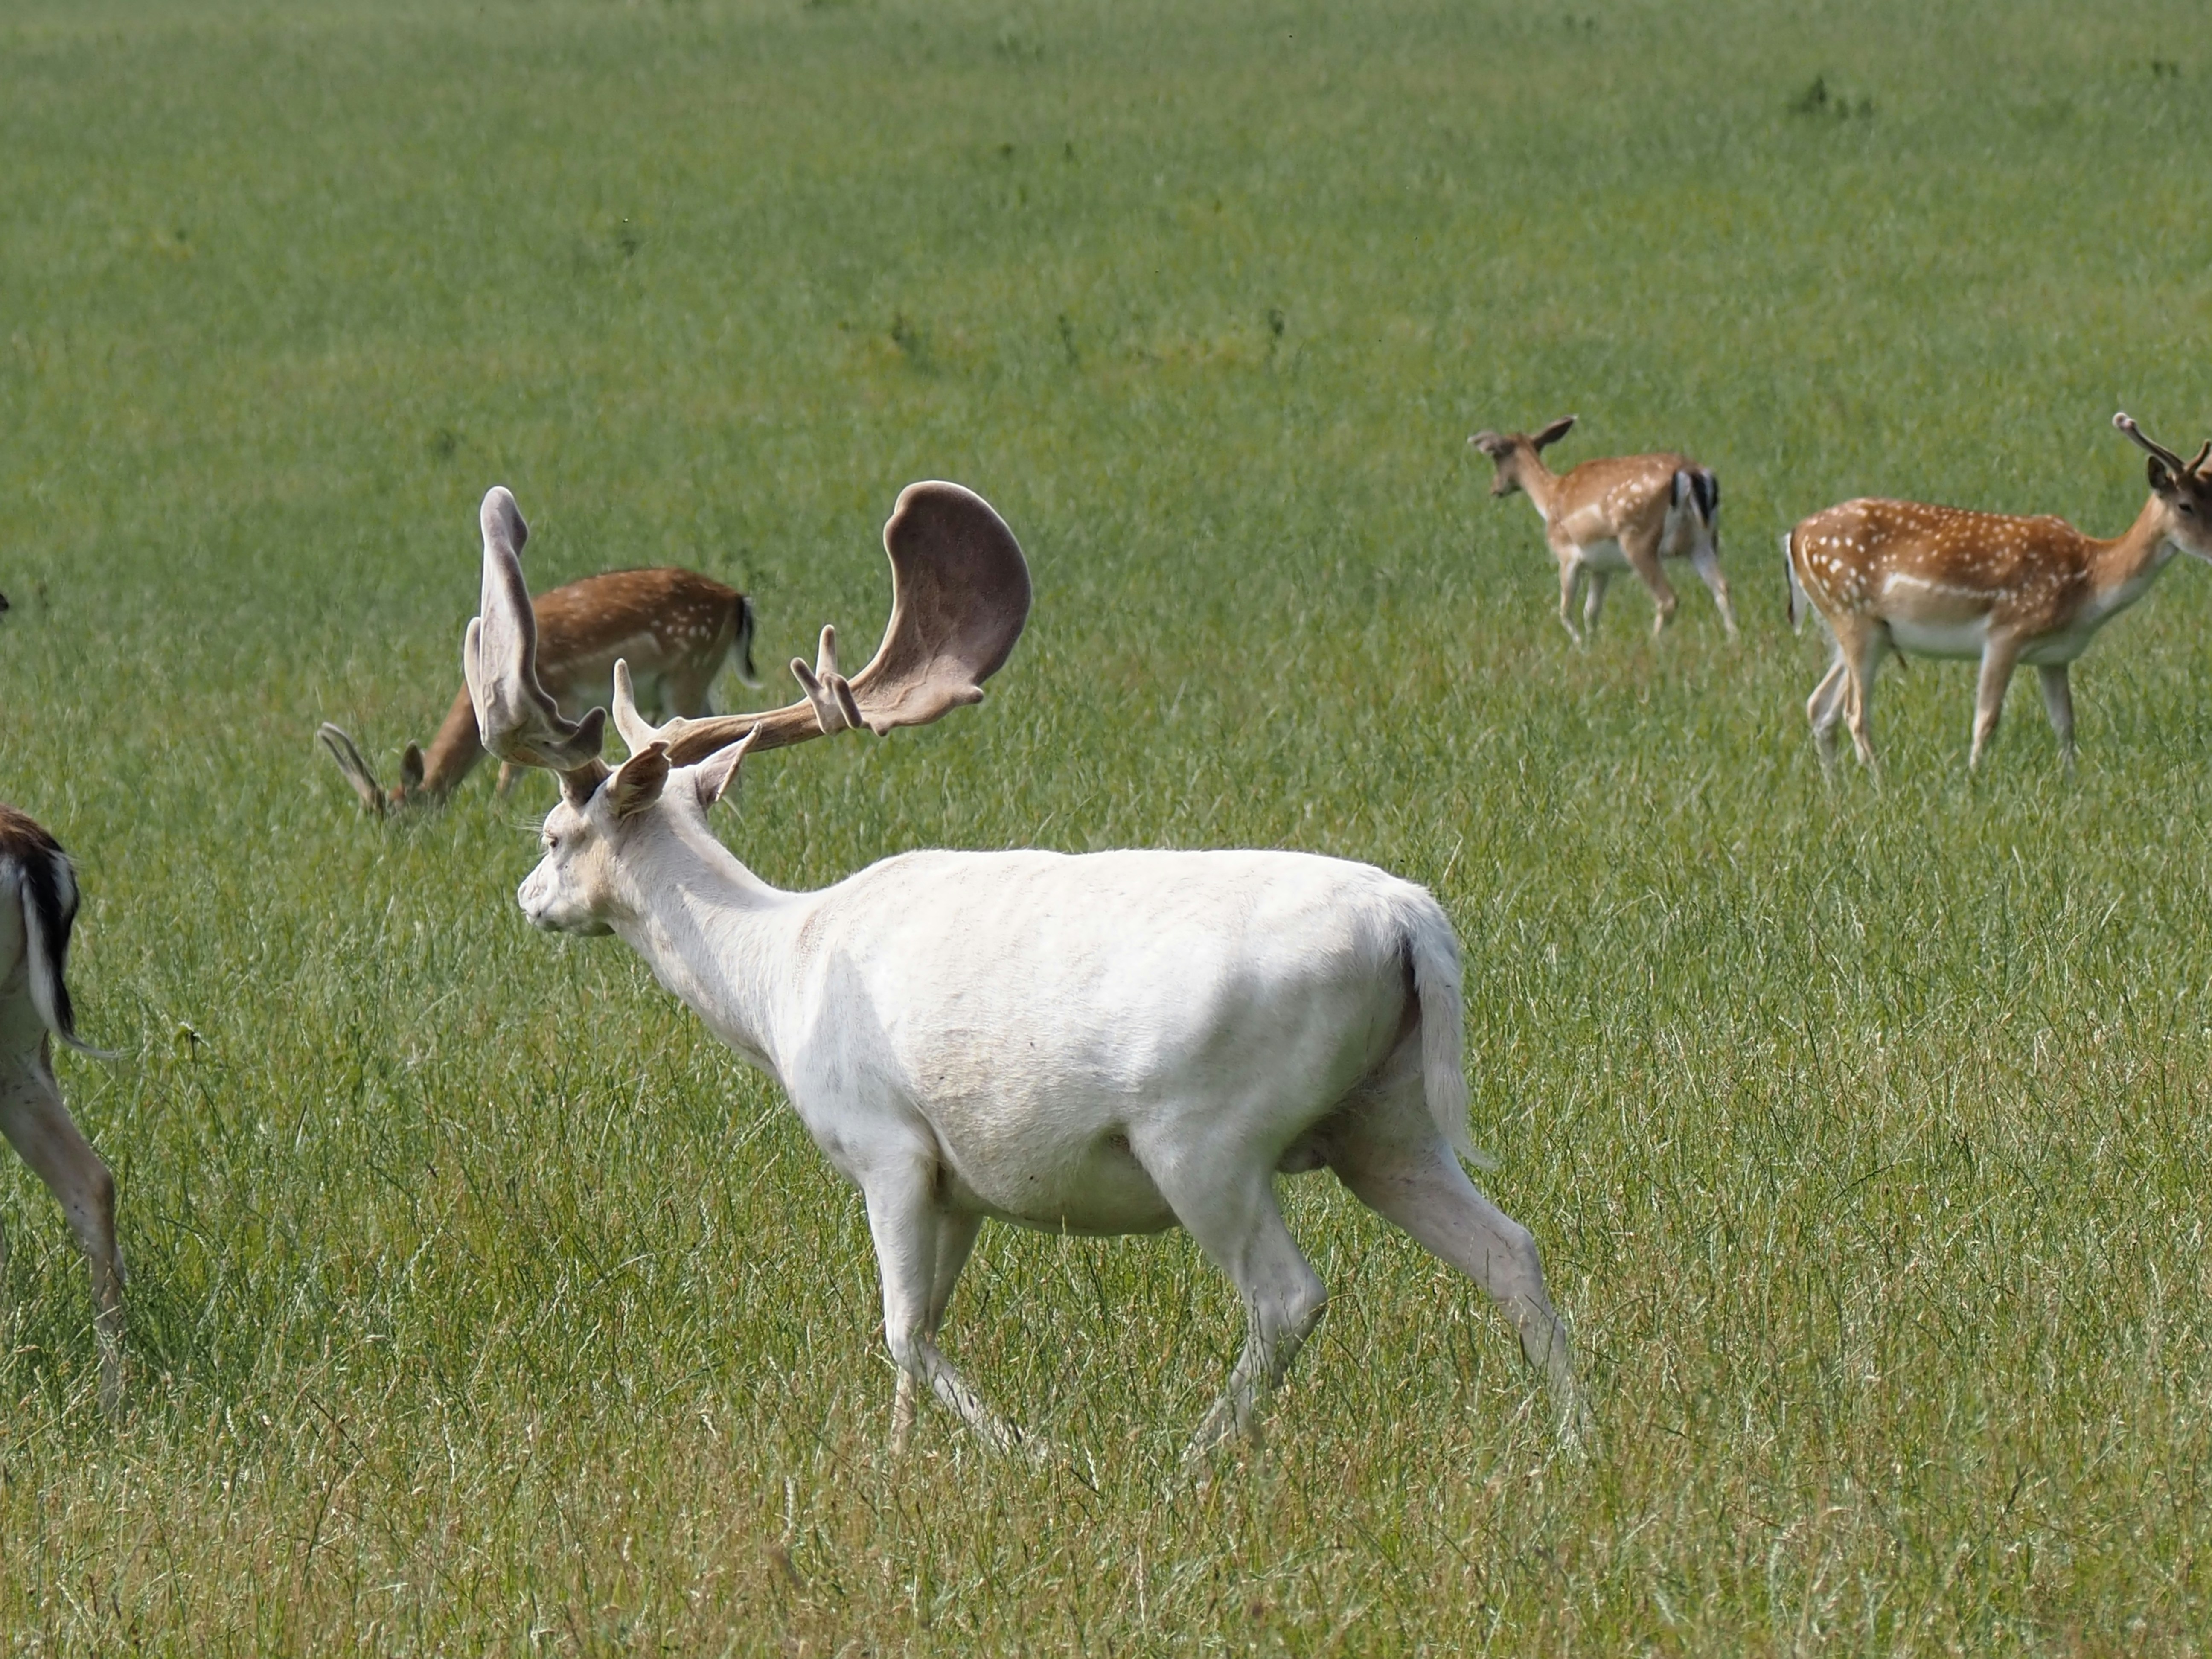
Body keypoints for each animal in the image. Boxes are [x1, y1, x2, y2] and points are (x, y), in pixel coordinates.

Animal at [319, 566, 758, 815]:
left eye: (400, 816)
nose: (394, 855)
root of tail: (738, 600)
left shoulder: (563, 702)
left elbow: (511, 775)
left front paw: (501, 822)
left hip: (688, 674)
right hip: (697, 680)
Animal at [459, 480, 1588, 1461]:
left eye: (556, 833)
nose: (525, 899)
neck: (775, 982)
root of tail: (1413, 922)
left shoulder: (888, 1145)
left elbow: (902, 1330)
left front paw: (1028, 1453)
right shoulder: (958, 1181)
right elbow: (918, 1335)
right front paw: (899, 1462)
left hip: (1206, 1135)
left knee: (1288, 1295)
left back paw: (1190, 1460)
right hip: (1385, 1119)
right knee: (1512, 1248)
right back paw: (1575, 1443)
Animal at [1470, 416, 1736, 643]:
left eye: (1496, 457)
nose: (1495, 489)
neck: (1549, 498)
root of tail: (1690, 473)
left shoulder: (1567, 555)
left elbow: (1565, 610)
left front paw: (1579, 644)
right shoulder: (1601, 566)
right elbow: (1591, 611)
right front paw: (1592, 644)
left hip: (1639, 539)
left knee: (1668, 599)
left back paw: (1654, 644)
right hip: (1704, 540)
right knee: (1723, 588)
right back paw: (1734, 640)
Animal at [1785, 413, 2212, 774]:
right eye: (2185, 506)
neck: (2091, 581)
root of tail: (1794, 536)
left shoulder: (2056, 655)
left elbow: (2065, 724)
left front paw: (2073, 784)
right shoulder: (2006, 632)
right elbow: (1986, 719)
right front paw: (1974, 783)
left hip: (1860, 629)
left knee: (1819, 706)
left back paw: (1836, 793)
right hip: (1852, 615)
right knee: (1855, 714)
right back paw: (1881, 787)